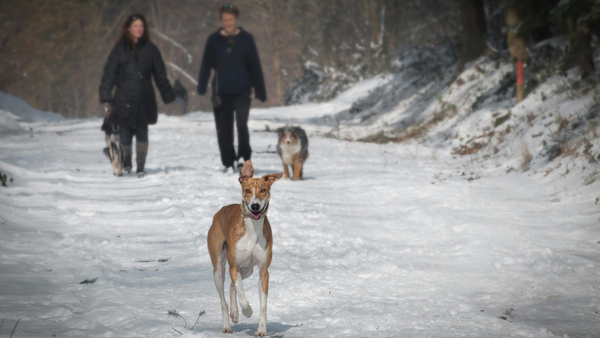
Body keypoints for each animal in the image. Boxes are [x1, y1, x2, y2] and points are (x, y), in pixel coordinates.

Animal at [206, 161, 282, 336]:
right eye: (247, 190)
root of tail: (220, 211)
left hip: (248, 269)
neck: (253, 228)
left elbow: (263, 304)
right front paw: (247, 311)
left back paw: (234, 313)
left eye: (263, 190)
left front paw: (261, 330)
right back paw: (227, 325)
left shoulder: (263, 271)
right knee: (224, 298)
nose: (255, 206)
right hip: (219, 268)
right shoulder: (233, 267)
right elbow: (242, 295)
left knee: (232, 285)